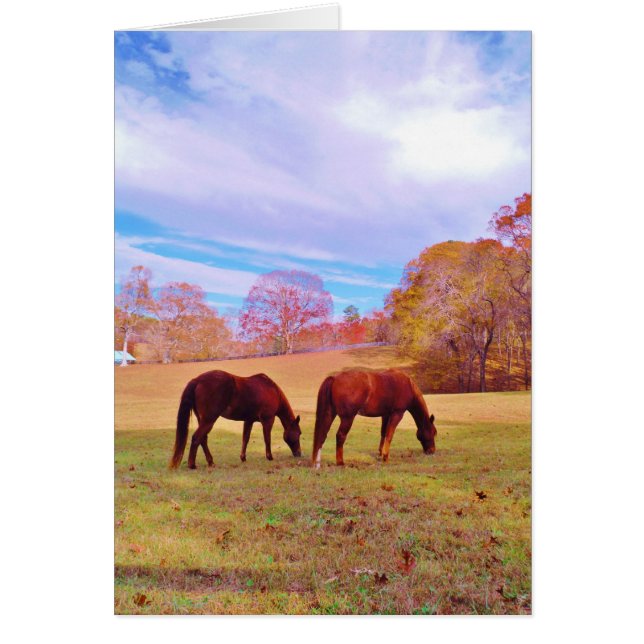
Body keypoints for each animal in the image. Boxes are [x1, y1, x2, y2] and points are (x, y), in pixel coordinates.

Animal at [169, 370, 302, 469]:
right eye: (299, 433)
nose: (299, 454)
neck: (272, 390)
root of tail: (197, 380)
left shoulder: (248, 420)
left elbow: (245, 439)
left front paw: (243, 457)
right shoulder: (268, 420)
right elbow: (267, 439)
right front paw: (269, 457)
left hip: (202, 420)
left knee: (203, 439)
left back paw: (211, 462)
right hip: (209, 420)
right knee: (197, 438)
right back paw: (192, 465)